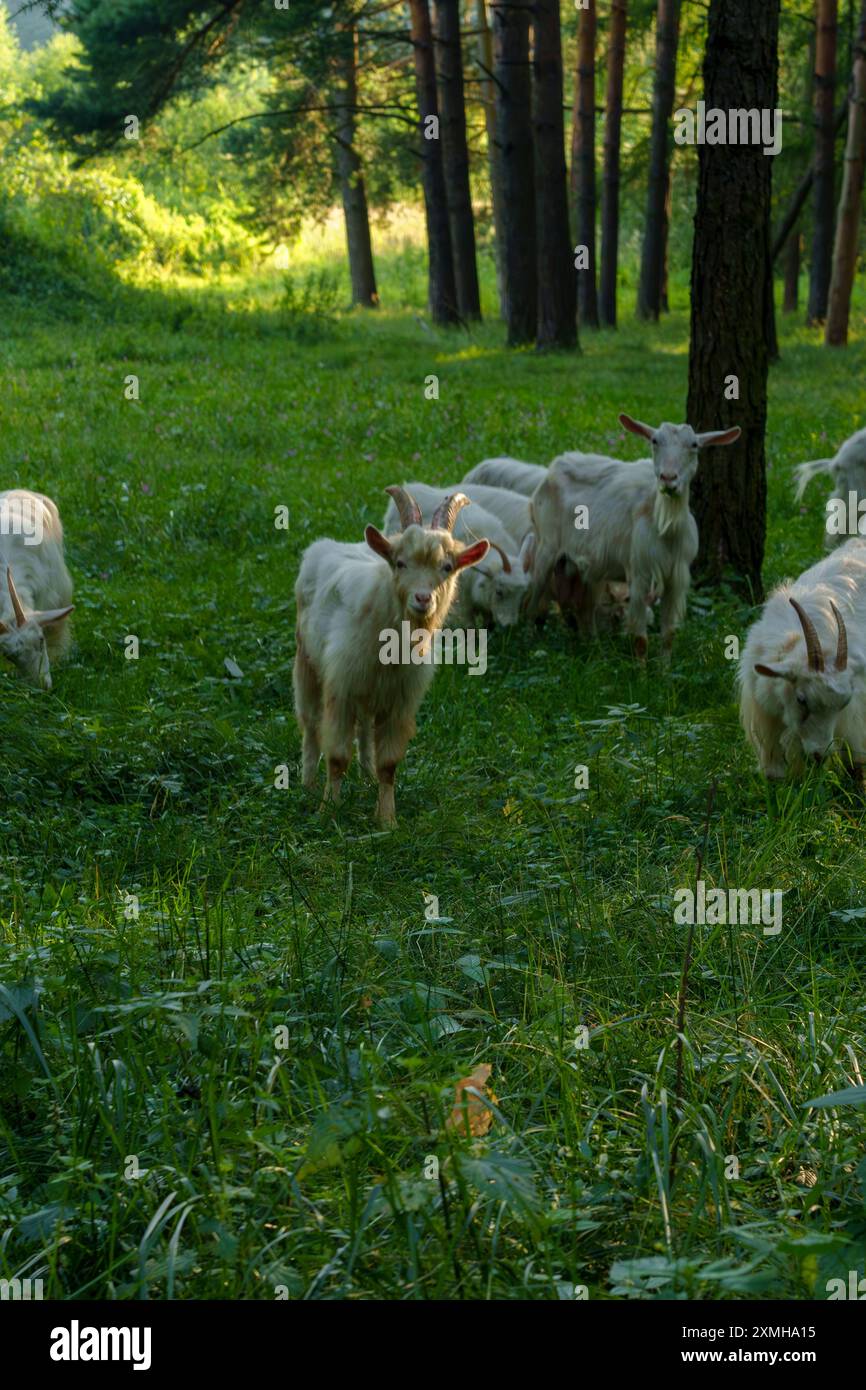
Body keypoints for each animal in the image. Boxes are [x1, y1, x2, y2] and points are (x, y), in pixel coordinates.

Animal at [293, 487, 489, 826]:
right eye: (400, 563)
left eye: (447, 567)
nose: (423, 598)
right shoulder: (341, 688)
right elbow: (337, 757)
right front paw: (328, 809)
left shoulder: (399, 702)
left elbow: (389, 764)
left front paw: (387, 820)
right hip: (306, 662)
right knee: (311, 725)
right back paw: (308, 785)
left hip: (369, 694)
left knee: (364, 729)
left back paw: (367, 778)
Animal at [527, 414, 741, 658]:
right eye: (655, 441)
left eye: (694, 445)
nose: (668, 478)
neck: (665, 528)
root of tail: (552, 469)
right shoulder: (640, 573)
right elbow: (640, 640)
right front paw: (642, 669)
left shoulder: (677, 577)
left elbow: (669, 634)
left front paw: (665, 668)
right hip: (546, 546)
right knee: (534, 600)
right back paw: (529, 643)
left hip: (590, 569)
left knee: (585, 610)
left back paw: (595, 651)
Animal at [739, 538, 866, 781]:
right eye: (801, 699)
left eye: (843, 704)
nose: (820, 755)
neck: (794, 638)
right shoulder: (766, 719)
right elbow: (775, 774)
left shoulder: (853, 717)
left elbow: (855, 762)